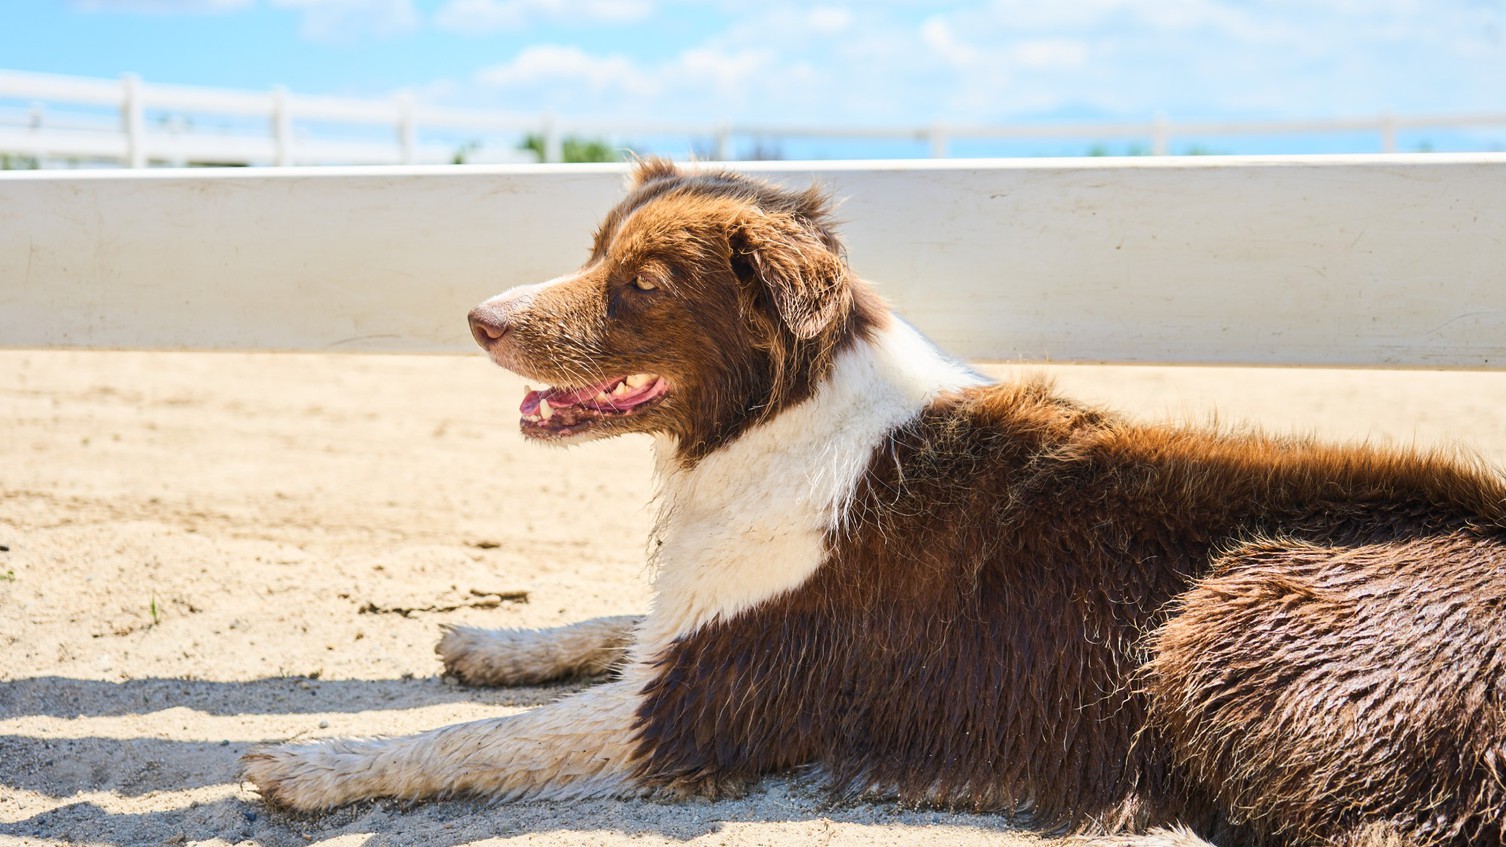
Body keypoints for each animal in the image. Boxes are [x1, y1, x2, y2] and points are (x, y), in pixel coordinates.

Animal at [243, 159, 1506, 843]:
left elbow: (475, 738)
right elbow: (606, 625)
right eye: (593, 250)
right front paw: (495, 640)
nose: (480, 318)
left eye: (642, 283)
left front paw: (315, 766)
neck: (779, 418)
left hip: (1228, 605)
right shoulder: (689, 623)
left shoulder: (694, 705)